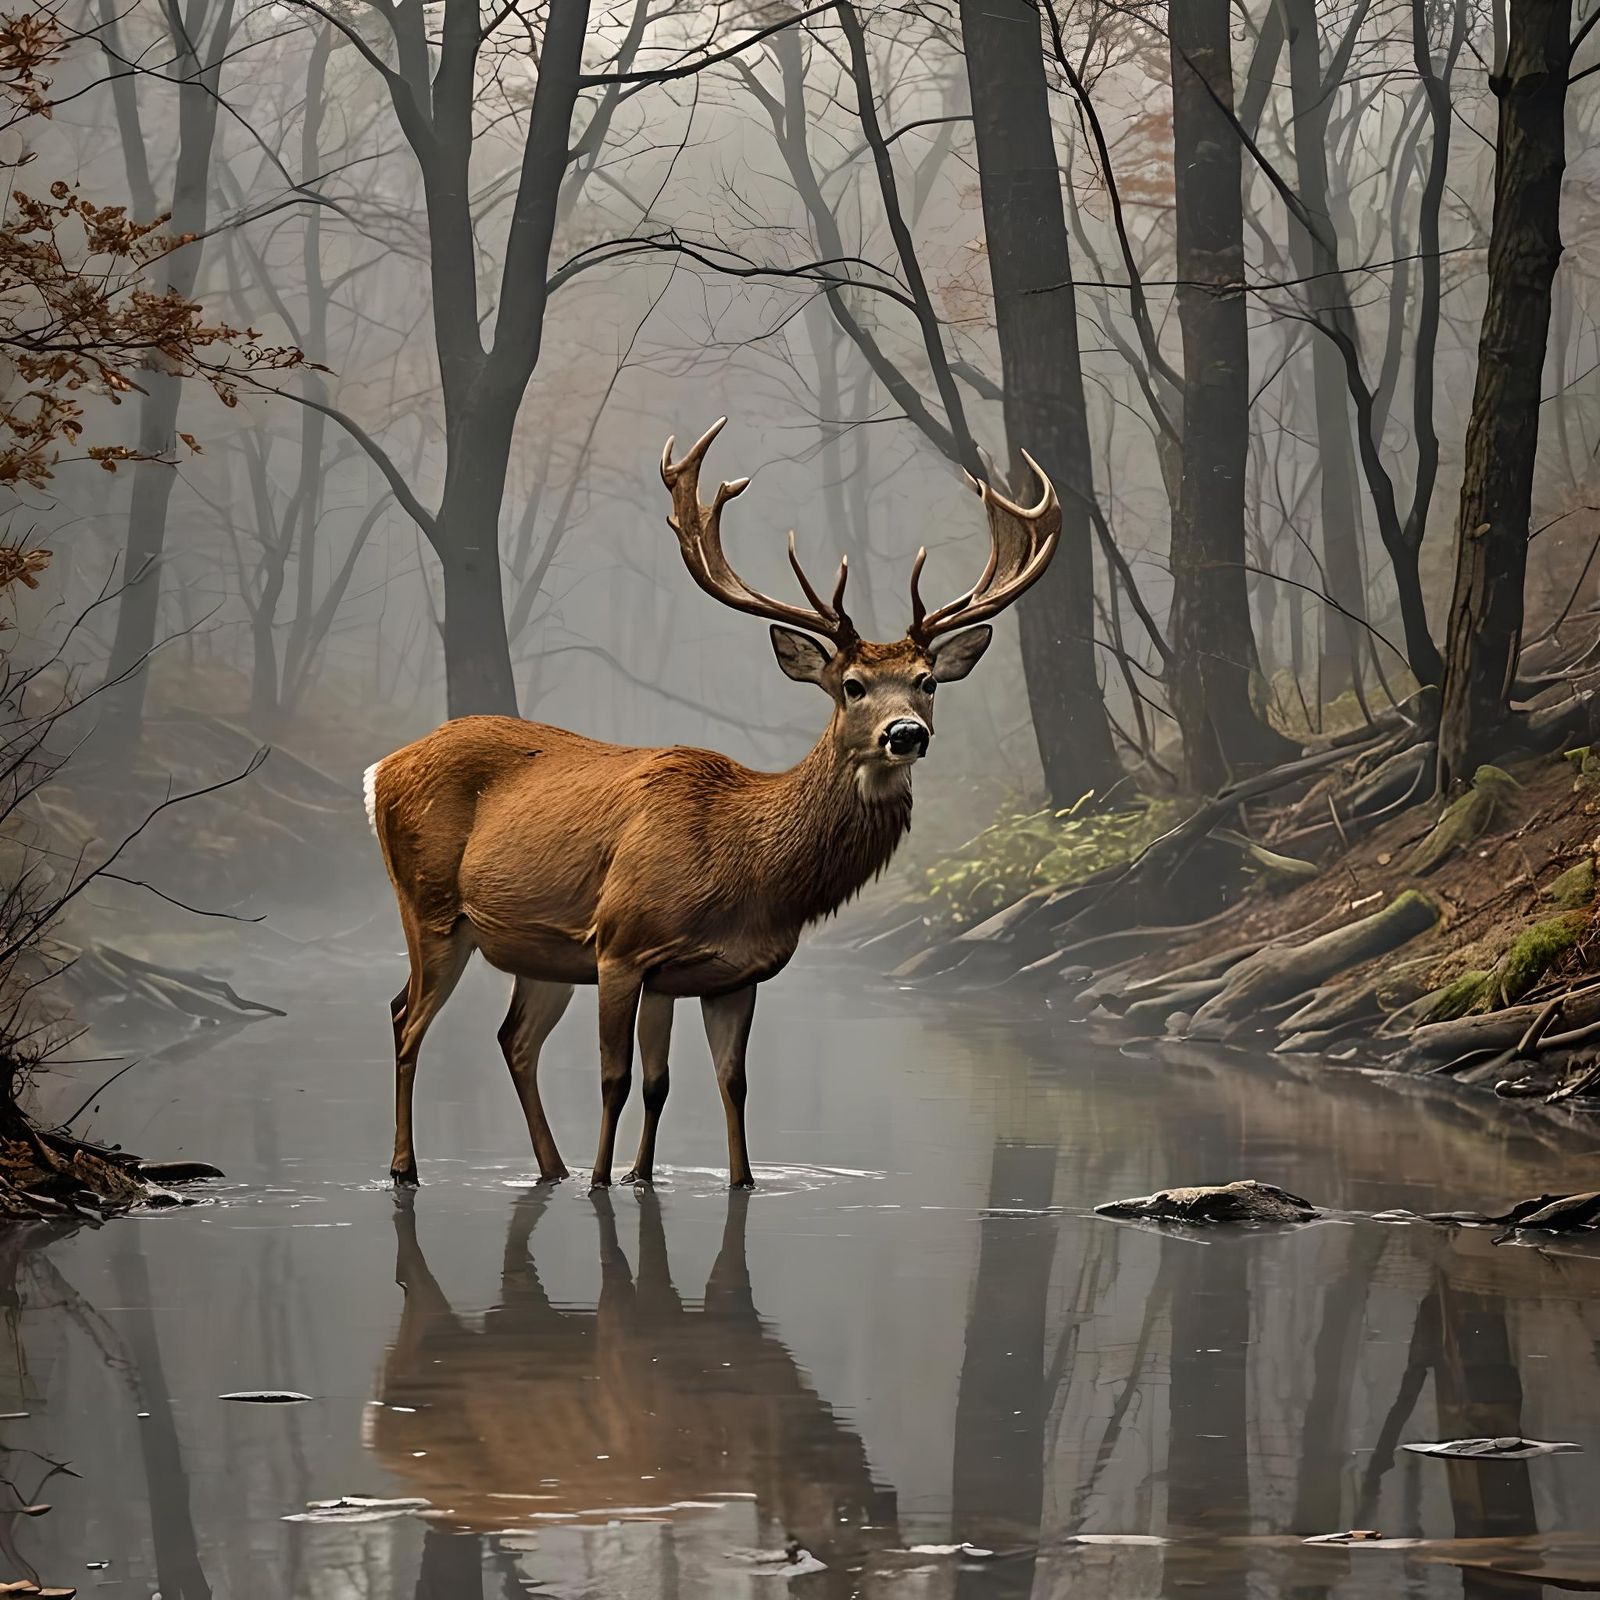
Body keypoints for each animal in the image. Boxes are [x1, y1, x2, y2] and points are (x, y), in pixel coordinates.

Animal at [365, 417, 1060, 1189]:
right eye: (851, 685)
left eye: (928, 680)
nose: (906, 733)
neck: (743, 865)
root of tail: (382, 768)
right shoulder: (621, 944)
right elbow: (615, 1077)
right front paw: (606, 1180)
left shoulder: (724, 974)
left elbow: (706, 1082)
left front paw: (703, 1178)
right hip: (429, 905)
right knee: (405, 1016)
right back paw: (407, 1168)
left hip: (537, 950)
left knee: (512, 1038)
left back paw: (551, 1169)